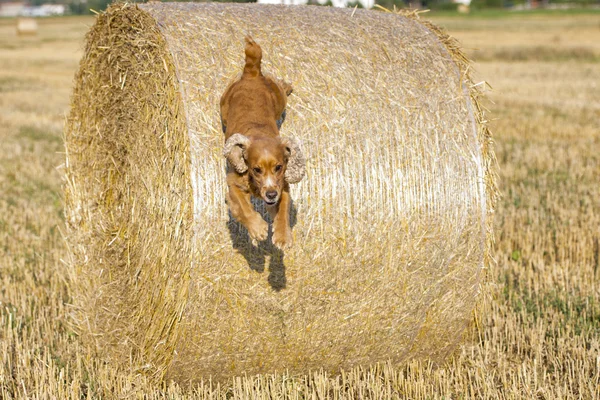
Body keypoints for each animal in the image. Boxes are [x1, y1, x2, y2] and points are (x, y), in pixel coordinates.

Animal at [220, 37, 304, 250]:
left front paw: (283, 236)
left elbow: (283, 210)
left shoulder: (282, 187)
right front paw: (257, 228)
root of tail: (252, 73)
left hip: (279, 101)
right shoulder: (233, 184)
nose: (271, 194)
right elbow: (243, 207)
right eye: (256, 169)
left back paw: (287, 85)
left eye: (279, 167)